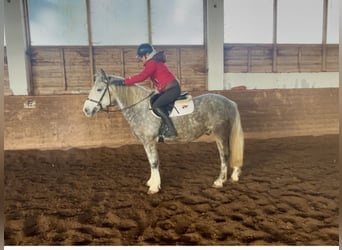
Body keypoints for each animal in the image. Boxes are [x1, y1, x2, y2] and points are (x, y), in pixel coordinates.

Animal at [82, 69, 243, 194]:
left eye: (99, 89)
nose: (86, 110)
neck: (141, 107)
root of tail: (229, 102)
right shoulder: (146, 142)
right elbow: (151, 162)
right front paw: (151, 182)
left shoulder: (149, 141)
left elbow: (154, 162)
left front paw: (154, 187)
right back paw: (234, 175)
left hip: (220, 133)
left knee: (224, 155)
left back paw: (219, 181)